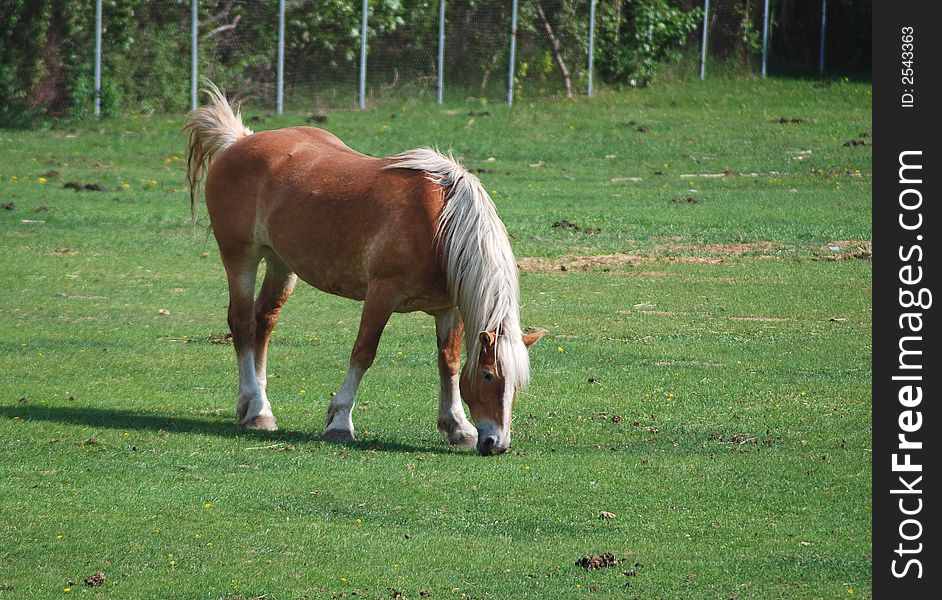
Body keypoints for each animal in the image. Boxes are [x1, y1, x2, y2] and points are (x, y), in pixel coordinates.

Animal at [183, 82, 544, 452]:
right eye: (489, 376)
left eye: (517, 385)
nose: (497, 443)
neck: (441, 226)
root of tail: (237, 141)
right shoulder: (381, 295)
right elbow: (363, 353)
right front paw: (340, 421)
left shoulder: (449, 308)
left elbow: (449, 362)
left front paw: (457, 426)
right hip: (241, 256)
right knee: (241, 323)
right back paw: (256, 409)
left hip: (281, 264)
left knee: (264, 322)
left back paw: (257, 406)